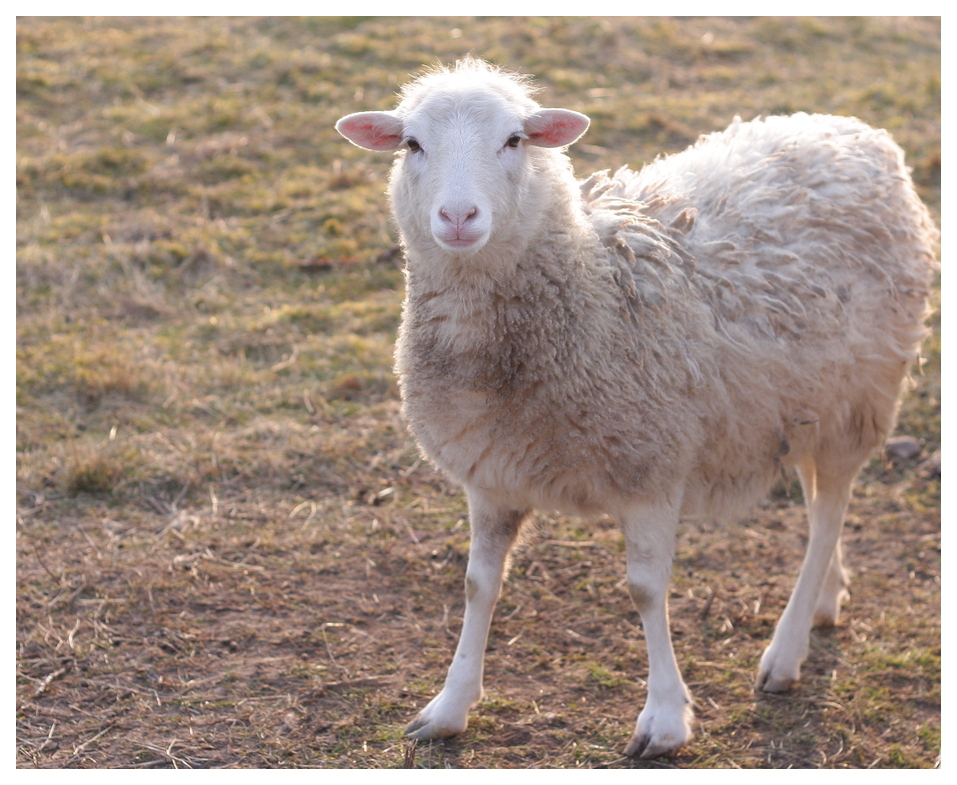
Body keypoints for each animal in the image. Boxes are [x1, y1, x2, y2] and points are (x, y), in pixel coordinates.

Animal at [334, 58, 932, 756]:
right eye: (411, 144)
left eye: (515, 140)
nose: (458, 216)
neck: (590, 285)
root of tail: (856, 131)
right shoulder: (491, 476)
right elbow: (479, 585)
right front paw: (450, 706)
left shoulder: (650, 466)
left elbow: (646, 591)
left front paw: (666, 719)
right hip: (803, 405)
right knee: (818, 507)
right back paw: (826, 601)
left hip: (859, 398)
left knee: (829, 515)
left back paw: (786, 650)